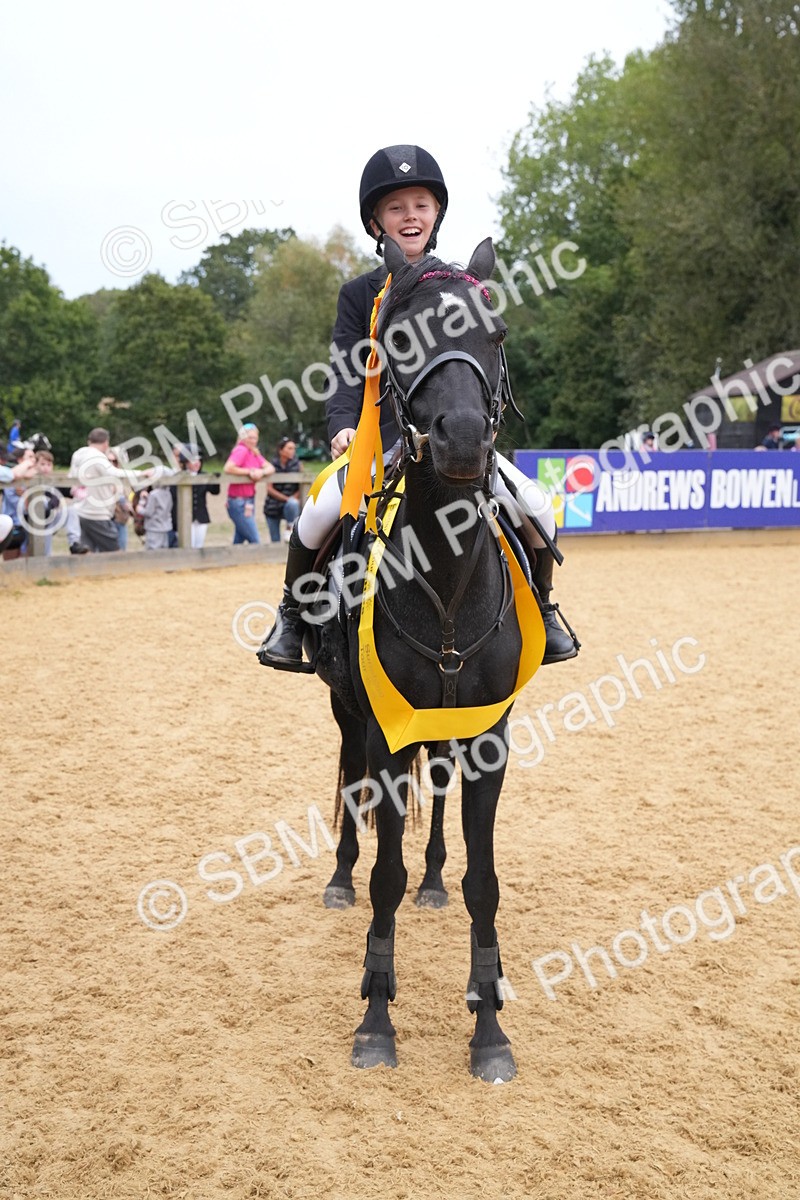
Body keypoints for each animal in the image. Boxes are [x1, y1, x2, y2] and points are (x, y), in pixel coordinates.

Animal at [299, 235, 543, 1082]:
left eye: (495, 333)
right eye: (397, 340)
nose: (464, 437)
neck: (445, 574)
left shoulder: (489, 734)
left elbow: (484, 880)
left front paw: (490, 1028)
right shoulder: (381, 727)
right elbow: (385, 873)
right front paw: (376, 1018)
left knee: (435, 795)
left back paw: (434, 880)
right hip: (349, 711)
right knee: (350, 788)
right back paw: (340, 877)